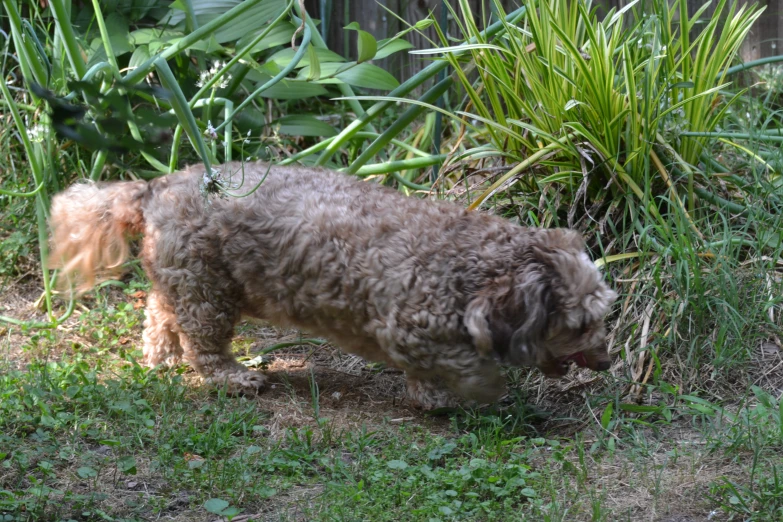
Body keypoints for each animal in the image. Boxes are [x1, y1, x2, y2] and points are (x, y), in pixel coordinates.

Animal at [50, 161, 620, 406]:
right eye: (581, 324)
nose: (608, 362)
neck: (472, 265)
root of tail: (156, 187)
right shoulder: (411, 332)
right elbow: (459, 369)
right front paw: (475, 394)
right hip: (209, 291)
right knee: (204, 346)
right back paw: (234, 377)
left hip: (186, 277)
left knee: (159, 313)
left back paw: (161, 357)